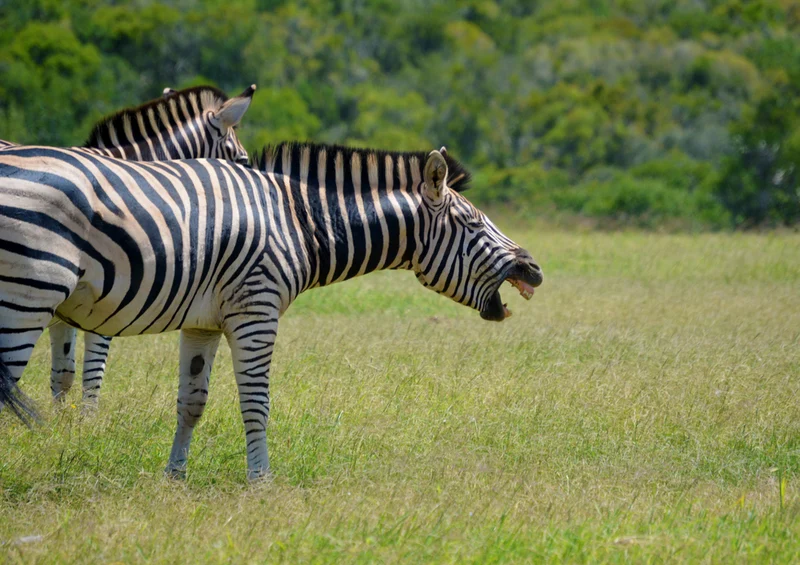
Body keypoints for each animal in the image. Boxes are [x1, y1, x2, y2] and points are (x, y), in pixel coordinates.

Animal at [0, 84, 256, 408]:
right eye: (243, 161)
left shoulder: (63, 308)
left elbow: (63, 373)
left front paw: (61, 420)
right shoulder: (102, 300)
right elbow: (92, 375)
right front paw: (86, 419)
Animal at [0, 142, 543, 480]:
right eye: (472, 224)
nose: (534, 269)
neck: (298, 221)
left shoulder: (202, 322)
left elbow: (191, 403)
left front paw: (174, 477)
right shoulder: (256, 311)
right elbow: (255, 404)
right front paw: (261, 481)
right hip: (27, 293)